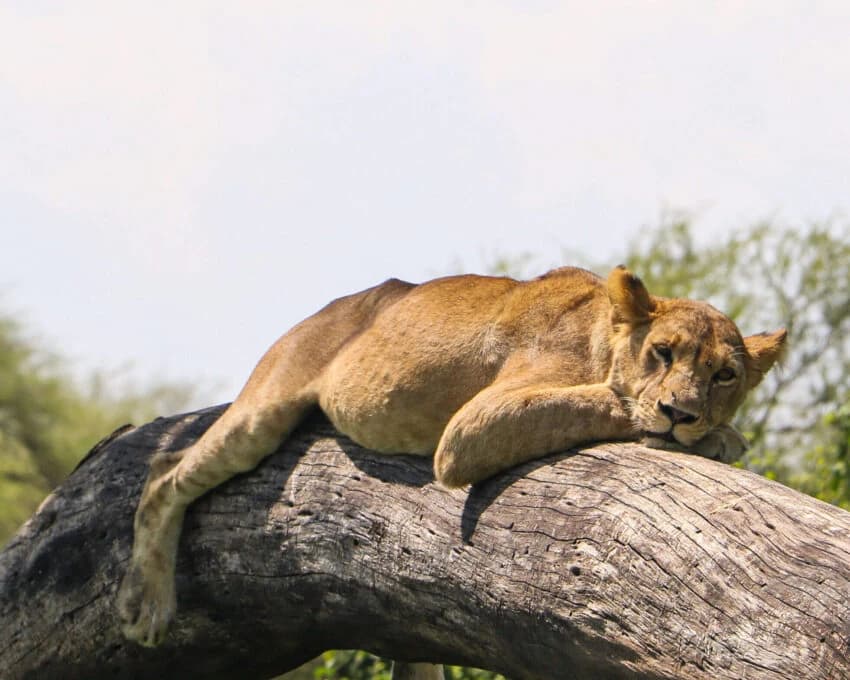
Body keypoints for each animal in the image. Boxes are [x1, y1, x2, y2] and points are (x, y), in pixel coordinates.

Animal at [117, 265, 786, 664]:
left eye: (724, 375)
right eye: (663, 353)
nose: (681, 412)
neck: (601, 332)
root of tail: (332, 305)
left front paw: (712, 432)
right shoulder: (471, 427)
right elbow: (608, 399)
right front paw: (716, 436)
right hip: (265, 407)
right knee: (166, 470)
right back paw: (145, 606)